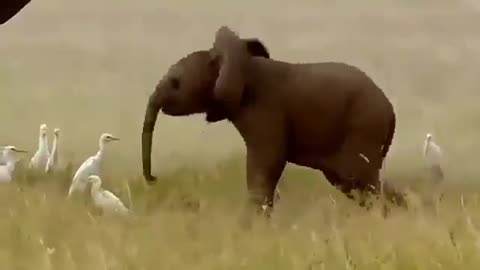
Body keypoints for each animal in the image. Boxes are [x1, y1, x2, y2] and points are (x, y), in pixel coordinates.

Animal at [142, 25, 404, 217]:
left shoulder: (264, 109)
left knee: (362, 181)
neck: (239, 63)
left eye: (175, 82)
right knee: (357, 185)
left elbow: (267, 162)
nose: (154, 179)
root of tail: (390, 109)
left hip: (363, 127)